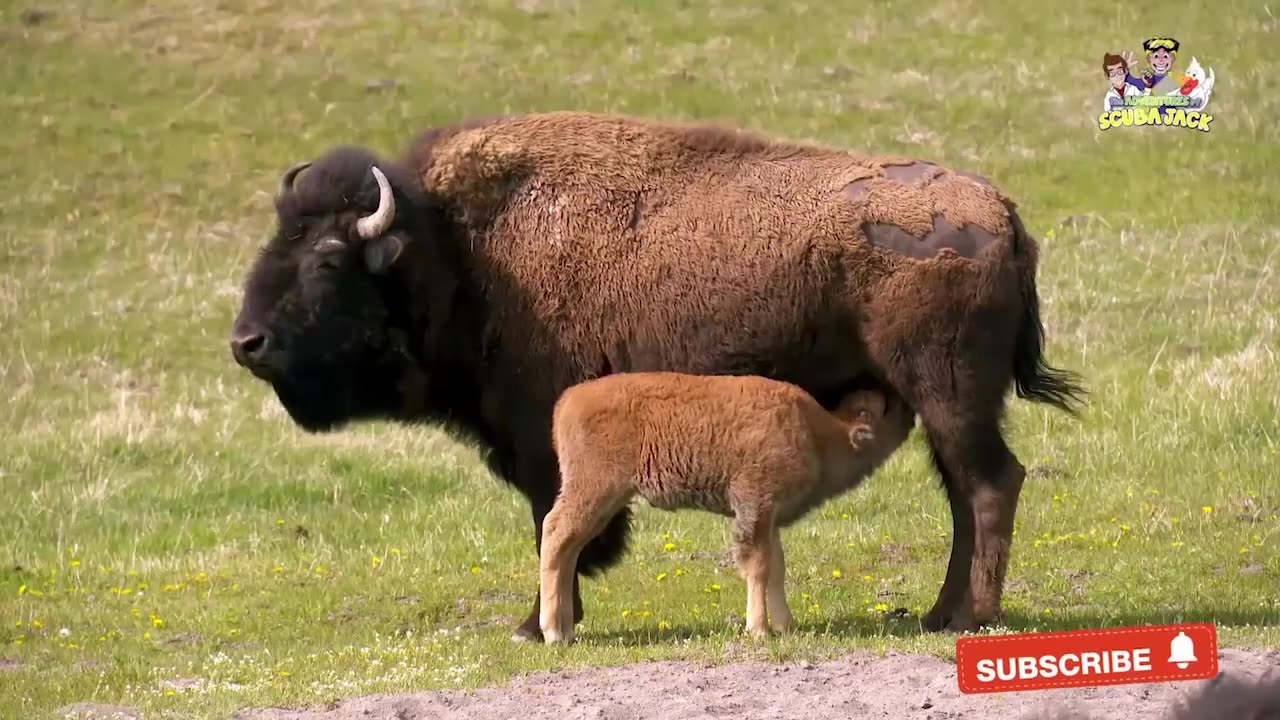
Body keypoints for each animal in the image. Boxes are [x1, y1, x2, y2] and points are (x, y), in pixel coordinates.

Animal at [535, 368, 916, 638]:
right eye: (883, 410)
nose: (905, 404)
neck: (814, 430)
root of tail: (569, 399)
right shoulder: (754, 505)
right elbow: (758, 566)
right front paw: (759, 629)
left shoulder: (769, 516)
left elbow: (776, 566)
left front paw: (787, 627)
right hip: (594, 491)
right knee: (556, 535)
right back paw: (553, 632)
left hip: (601, 501)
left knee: (569, 549)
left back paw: (565, 630)